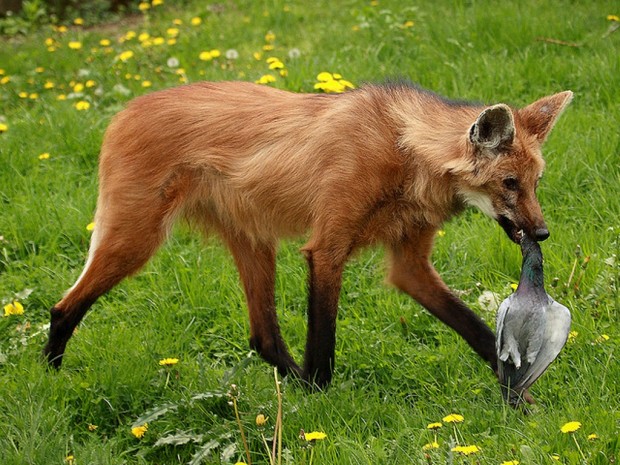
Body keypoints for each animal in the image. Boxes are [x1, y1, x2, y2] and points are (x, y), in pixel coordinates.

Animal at [44, 80, 572, 388]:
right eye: (509, 183)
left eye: (536, 183)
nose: (542, 232)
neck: (406, 153)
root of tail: (122, 111)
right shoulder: (327, 247)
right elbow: (324, 340)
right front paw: (322, 398)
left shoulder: (410, 266)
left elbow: (474, 327)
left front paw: (521, 395)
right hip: (136, 239)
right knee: (63, 306)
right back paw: (49, 377)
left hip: (254, 240)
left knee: (263, 336)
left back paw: (292, 385)